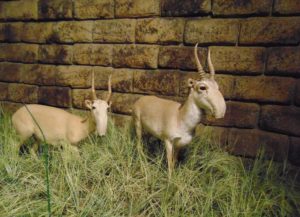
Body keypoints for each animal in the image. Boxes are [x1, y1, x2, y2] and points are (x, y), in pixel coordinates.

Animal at [132, 43, 226, 176]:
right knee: (139, 145)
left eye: (217, 86)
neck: (180, 116)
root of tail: (140, 100)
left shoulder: (179, 145)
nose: (221, 111)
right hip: (138, 126)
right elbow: (170, 164)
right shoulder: (168, 142)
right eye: (202, 87)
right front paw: (170, 180)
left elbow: (174, 162)